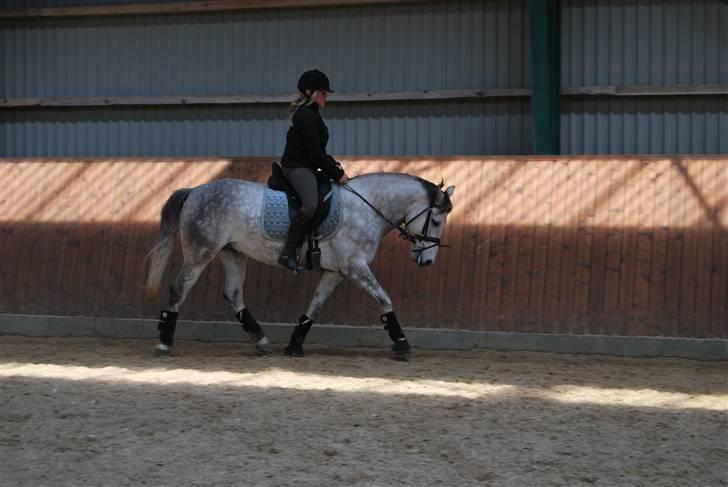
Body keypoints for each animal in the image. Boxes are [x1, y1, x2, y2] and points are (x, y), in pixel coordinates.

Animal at [144, 173, 456, 358]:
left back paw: (261, 340)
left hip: (233, 253)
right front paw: (402, 343)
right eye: (436, 220)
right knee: (179, 289)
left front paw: (295, 343)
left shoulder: (335, 272)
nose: (427, 260)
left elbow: (314, 307)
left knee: (233, 295)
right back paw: (164, 342)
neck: (367, 208)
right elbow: (384, 299)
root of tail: (195, 190)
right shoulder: (355, 267)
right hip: (201, 252)